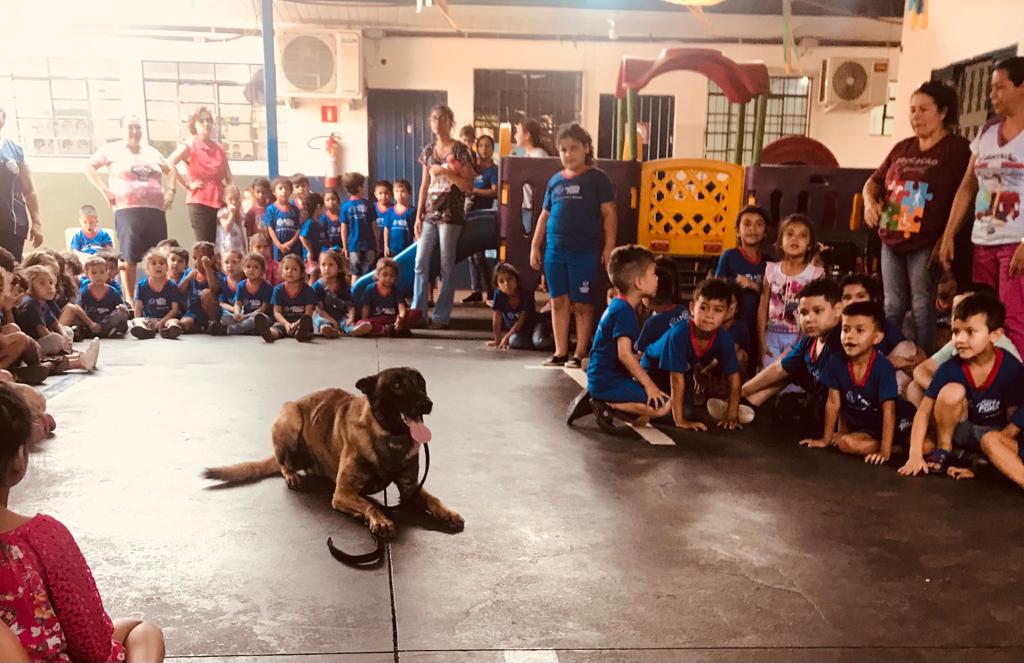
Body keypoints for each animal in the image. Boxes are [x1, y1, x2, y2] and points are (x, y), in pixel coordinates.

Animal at [200, 368, 464, 541]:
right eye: (397, 385)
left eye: (421, 383)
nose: (427, 404)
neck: (390, 437)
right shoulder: (343, 493)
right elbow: (369, 505)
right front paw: (380, 519)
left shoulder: (410, 488)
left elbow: (432, 499)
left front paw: (447, 512)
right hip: (291, 419)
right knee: (283, 462)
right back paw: (291, 474)